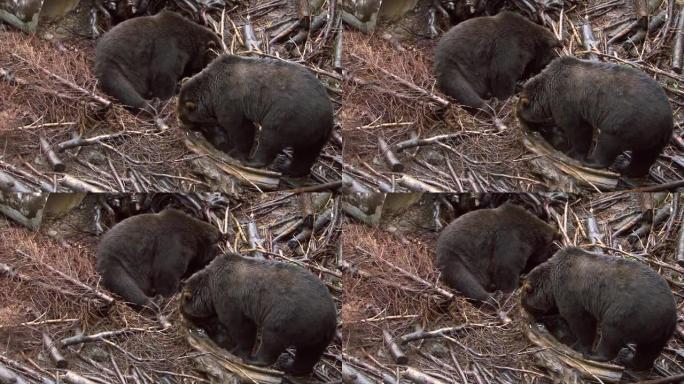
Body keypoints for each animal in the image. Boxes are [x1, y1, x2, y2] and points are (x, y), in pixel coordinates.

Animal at [176, 54, 334, 177]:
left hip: (288, 117)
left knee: (270, 139)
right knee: (306, 154)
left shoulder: (229, 101)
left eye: (185, 117)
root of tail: (326, 118)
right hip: (314, 134)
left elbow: (241, 128)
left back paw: (254, 162)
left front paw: (236, 152)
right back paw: (289, 168)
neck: (210, 92)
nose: (183, 123)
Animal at [178, 252, 336, 376]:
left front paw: (238, 350)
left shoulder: (229, 298)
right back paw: (290, 365)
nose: (197, 327)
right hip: (317, 336)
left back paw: (256, 360)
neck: (210, 288)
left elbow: (241, 327)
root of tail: (328, 319)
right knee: (308, 354)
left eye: (196, 319)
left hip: (288, 318)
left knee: (272, 340)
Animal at [432, 11, 560, 109]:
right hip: (455, 66)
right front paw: (509, 97)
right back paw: (489, 104)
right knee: (461, 88)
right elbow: (502, 75)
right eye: (545, 64)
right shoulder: (509, 47)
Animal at [520, 55, 672, 177]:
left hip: (628, 124)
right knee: (644, 157)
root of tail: (667, 123)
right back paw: (627, 169)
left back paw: (593, 162)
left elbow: (579, 130)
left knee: (608, 144)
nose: (528, 128)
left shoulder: (567, 102)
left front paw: (574, 153)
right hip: (653, 138)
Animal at [520, 248, 676, 370]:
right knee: (648, 350)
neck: (551, 282)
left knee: (611, 336)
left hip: (628, 314)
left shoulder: (571, 294)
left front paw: (580, 345)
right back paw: (630, 360)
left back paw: (596, 355)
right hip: (659, 331)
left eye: (526, 304)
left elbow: (582, 322)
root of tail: (669, 315)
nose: (529, 316)